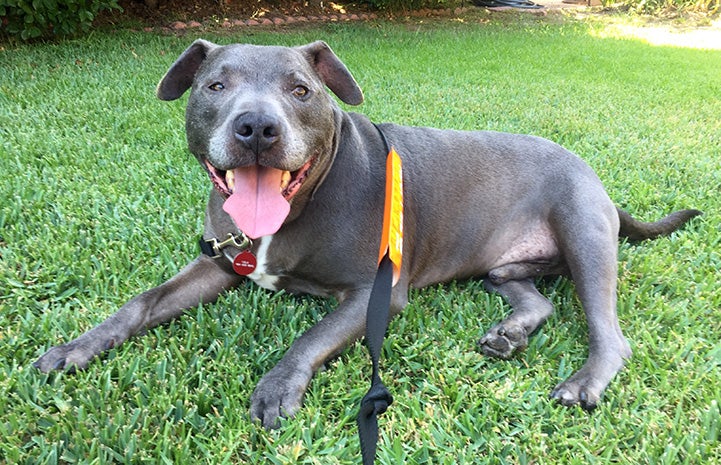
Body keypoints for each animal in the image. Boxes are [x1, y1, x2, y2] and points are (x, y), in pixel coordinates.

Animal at [33, 40, 696, 428]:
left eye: (301, 90)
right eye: (215, 85)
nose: (256, 127)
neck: (301, 203)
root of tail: (593, 172)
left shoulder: (373, 294)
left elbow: (310, 336)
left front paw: (278, 387)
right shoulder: (217, 263)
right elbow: (140, 303)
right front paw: (76, 347)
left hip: (584, 236)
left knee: (609, 332)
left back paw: (582, 383)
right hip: (503, 268)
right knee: (534, 297)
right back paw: (508, 334)